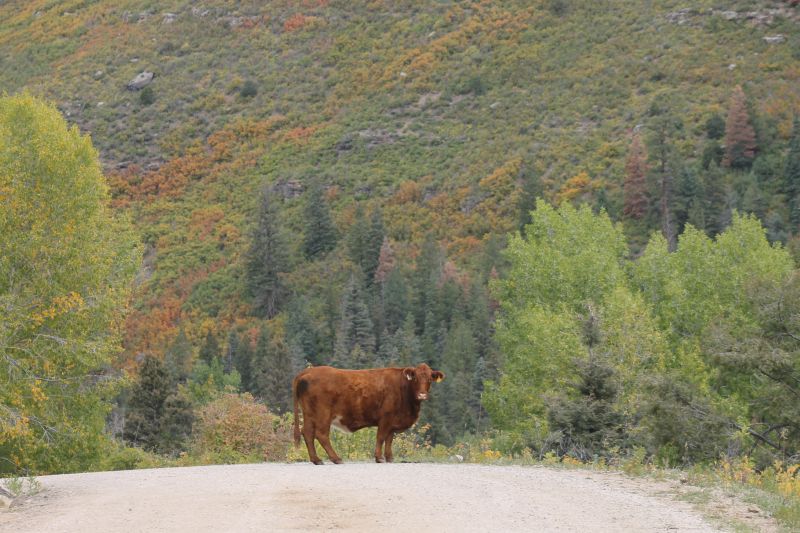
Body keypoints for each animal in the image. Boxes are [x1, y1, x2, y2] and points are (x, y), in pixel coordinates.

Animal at [292, 362, 444, 462]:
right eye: (415, 378)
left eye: (429, 379)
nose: (422, 395)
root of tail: (307, 372)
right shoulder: (385, 418)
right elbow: (381, 437)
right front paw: (379, 457)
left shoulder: (393, 421)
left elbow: (389, 439)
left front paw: (389, 457)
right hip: (323, 414)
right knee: (321, 434)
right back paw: (336, 458)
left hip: (309, 413)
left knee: (307, 433)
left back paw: (316, 459)